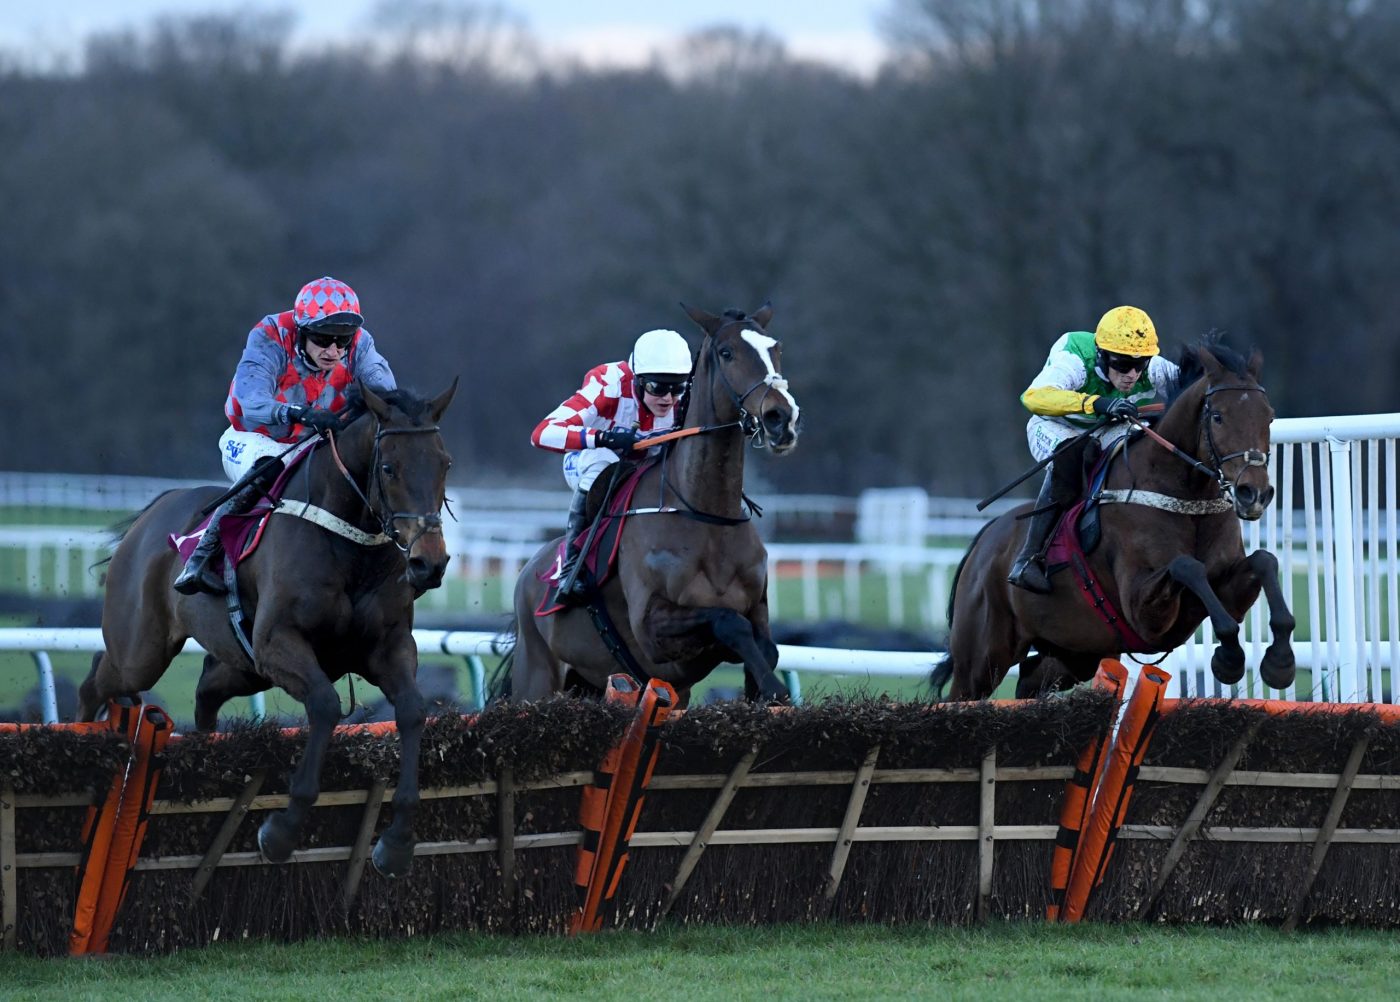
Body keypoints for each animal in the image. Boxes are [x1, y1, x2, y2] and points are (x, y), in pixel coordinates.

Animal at [80, 380, 459, 873]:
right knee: (97, 680)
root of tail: (155, 511)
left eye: (444, 463)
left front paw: (396, 842)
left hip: (244, 667)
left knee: (205, 688)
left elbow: (412, 710)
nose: (428, 563)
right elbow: (325, 705)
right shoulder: (277, 642)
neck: (349, 543)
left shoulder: (388, 646)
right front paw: (283, 830)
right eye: (389, 468)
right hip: (143, 652)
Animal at [509, 303, 806, 705]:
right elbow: (730, 623)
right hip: (537, 676)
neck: (706, 515)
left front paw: (765, 689)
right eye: (726, 352)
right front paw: (775, 689)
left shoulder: (756, 610)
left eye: (776, 349)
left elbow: (765, 647)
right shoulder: (652, 629)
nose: (781, 418)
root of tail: (528, 570)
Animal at [929, 340, 1299, 699]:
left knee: (1029, 682)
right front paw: (1229, 658)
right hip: (981, 659)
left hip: (1075, 651)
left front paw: (1279, 661)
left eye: (1268, 416)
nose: (1254, 493)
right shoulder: (1144, 612)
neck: (1185, 497)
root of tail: (985, 539)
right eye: (1218, 416)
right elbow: (1187, 566)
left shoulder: (1223, 591)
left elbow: (1264, 560)